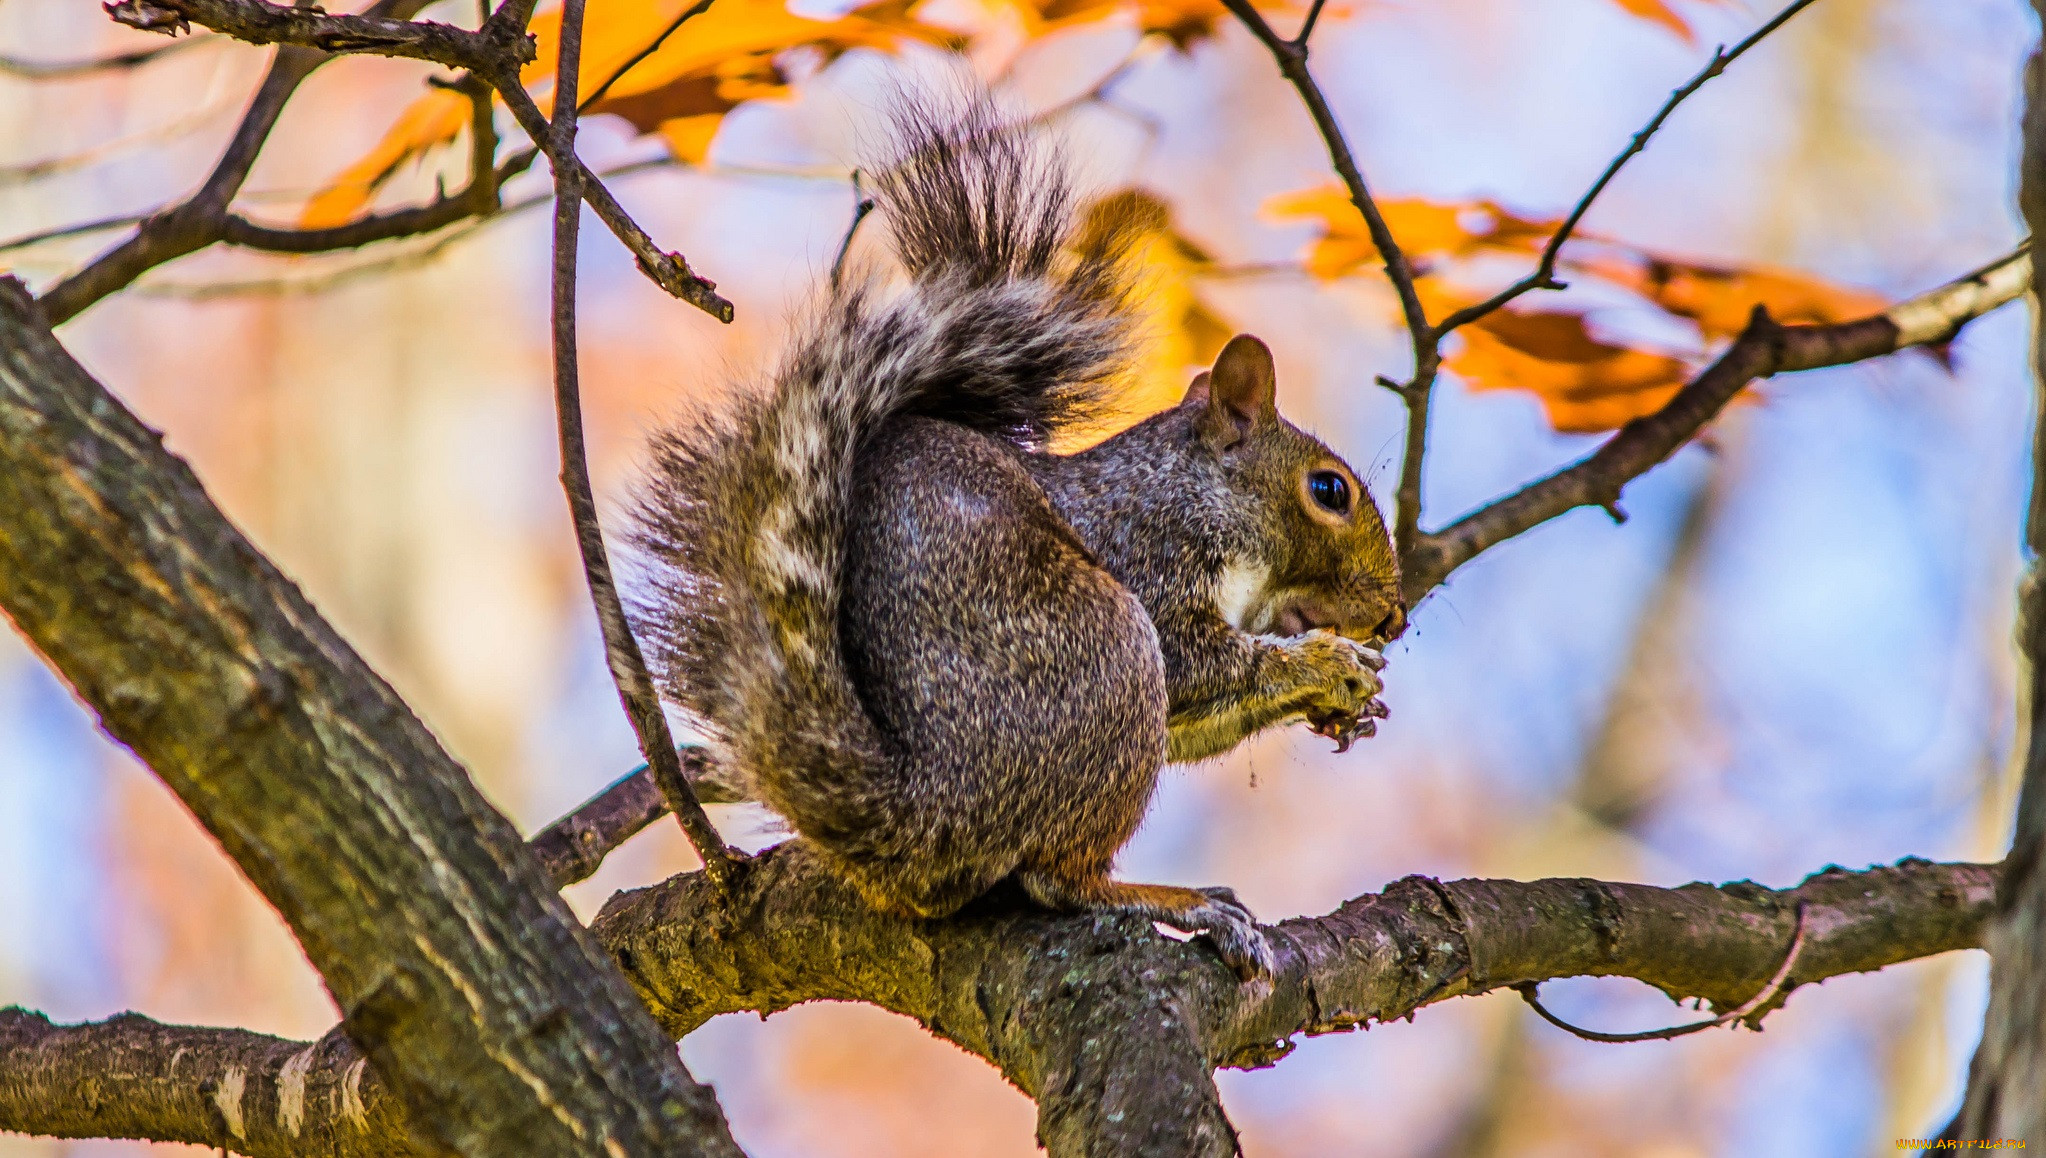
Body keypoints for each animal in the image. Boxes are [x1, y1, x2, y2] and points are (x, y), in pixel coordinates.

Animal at [634, 102, 1407, 990]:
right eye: (1330, 492)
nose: (1394, 618)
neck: (1193, 492)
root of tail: (925, 812)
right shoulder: (1150, 550)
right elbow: (1196, 663)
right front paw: (1324, 664)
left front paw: (1347, 705)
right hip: (1105, 652)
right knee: (1059, 878)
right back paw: (1176, 900)